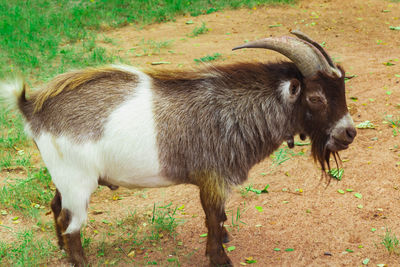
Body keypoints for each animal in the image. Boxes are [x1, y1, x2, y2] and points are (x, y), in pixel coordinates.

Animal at [0, 30, 356, 266]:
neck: (234, 111)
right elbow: (213, 218)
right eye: (316, 98)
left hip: (64, 176)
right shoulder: (213, 178)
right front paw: (219, 258)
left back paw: (61, 249)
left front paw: (224, 242)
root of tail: (33, 108)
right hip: (78, 181)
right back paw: (79, 259)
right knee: (70, 223)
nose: (349, 133)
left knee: (54, 206)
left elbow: (220, 218)